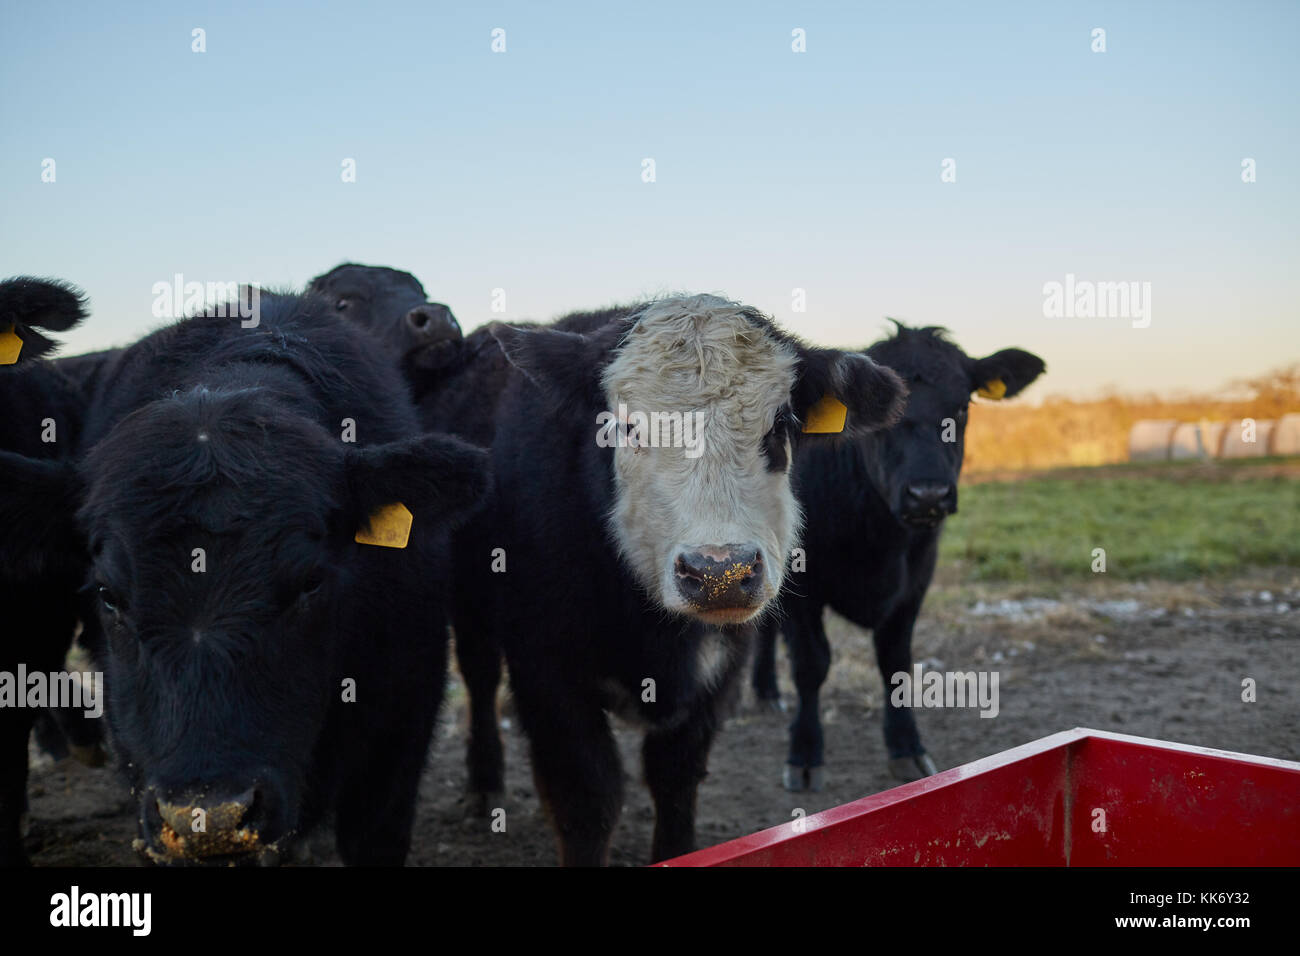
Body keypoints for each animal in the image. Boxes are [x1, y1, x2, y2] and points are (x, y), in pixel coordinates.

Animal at [754, 325, 1045, 790]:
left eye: (961, 406)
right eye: (885, 413)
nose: (928, 494)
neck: (878, 538)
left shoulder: (914, 583)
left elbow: (896, 663)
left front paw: (906, 748)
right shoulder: (803, 584)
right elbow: (811, 665)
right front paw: (805, 754)